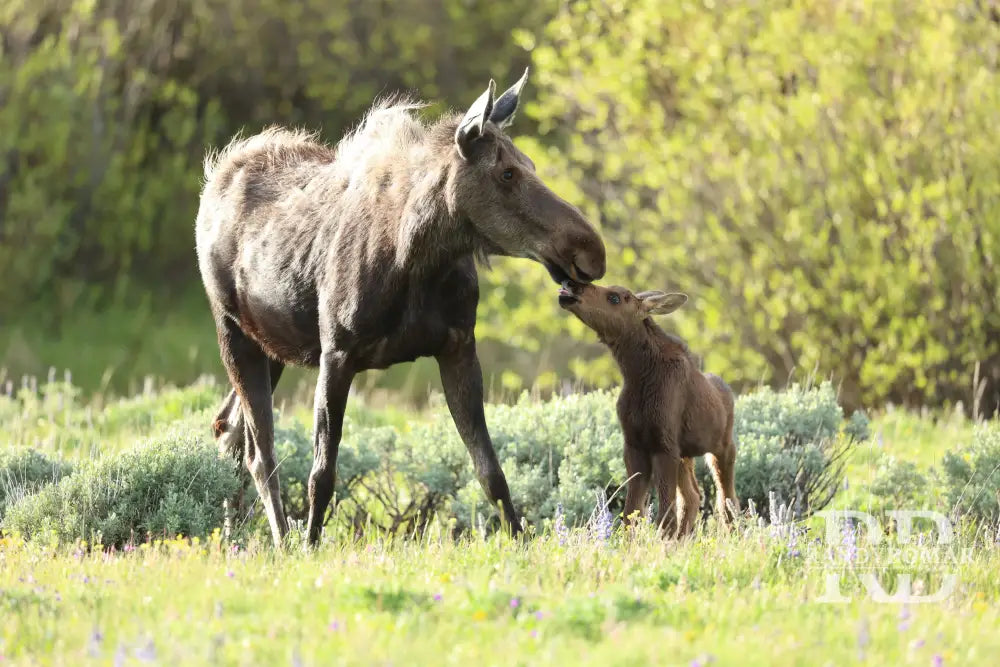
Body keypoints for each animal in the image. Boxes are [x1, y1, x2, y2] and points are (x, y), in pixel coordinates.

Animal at [192, 69, 604, 548]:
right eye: (506, 172)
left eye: (531, 166)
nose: (591, 249)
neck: (418, 260)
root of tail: (215, 176)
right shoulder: (337, 353)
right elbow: (321, 474)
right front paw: (310, 547)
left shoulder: (458, 347)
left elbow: (491, 470)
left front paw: (519, 540)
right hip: (232, 330)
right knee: (260, 452)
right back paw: (276, 540)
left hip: (271, 346)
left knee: (229, 429)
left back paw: (234, 536)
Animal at [560, 280, 740, 536]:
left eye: (615, 298)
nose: (572, 285)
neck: (637, 374)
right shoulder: (635, 445)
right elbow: (631, 513)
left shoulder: (663, 445)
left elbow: (664, 513)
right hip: (684, 454)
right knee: (693, 496)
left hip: (721, 447)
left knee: (727, 499)